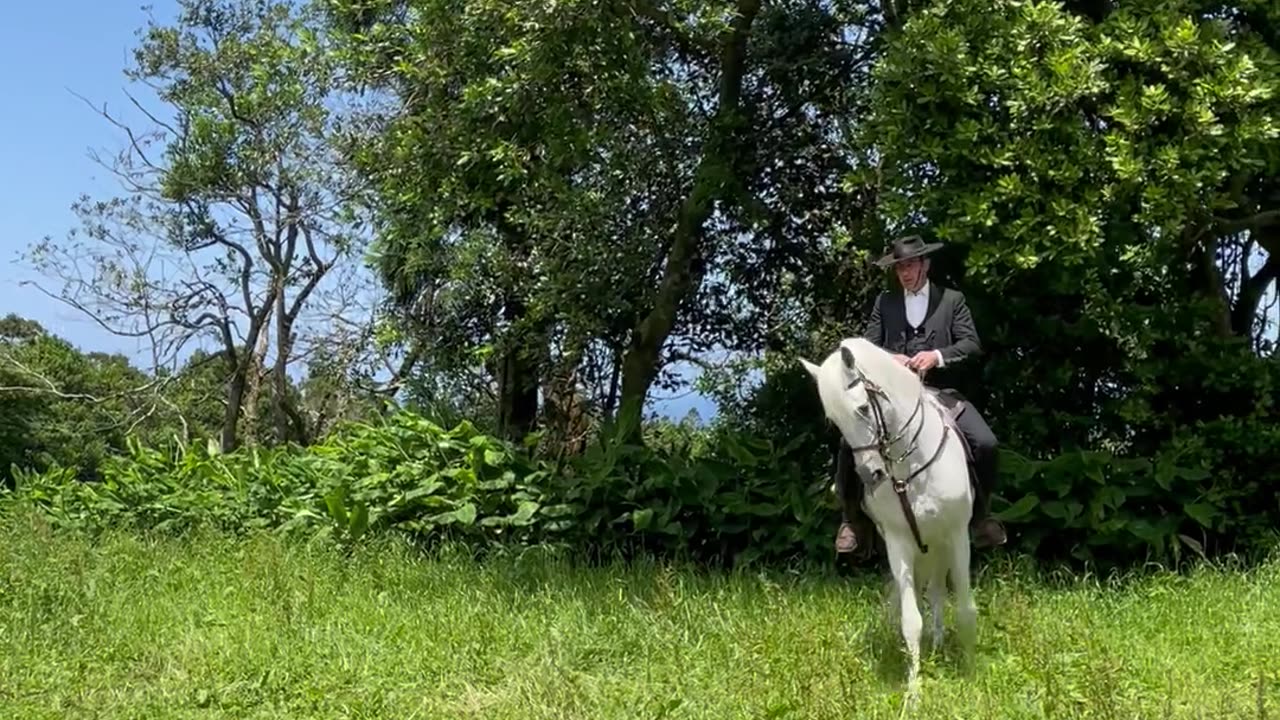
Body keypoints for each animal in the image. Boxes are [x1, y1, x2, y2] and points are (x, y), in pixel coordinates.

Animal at [798, 338, 977, 702]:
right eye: (835, 421)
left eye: (864, 409)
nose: (871, 475)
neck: (910, 467)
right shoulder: (899, 543)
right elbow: (911, 620)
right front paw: (914, 691)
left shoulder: (957, 535)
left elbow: (965, 609)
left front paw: (968, 671)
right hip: (925, 549)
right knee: (932, 592)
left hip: (941, 544)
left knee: (939, 591)